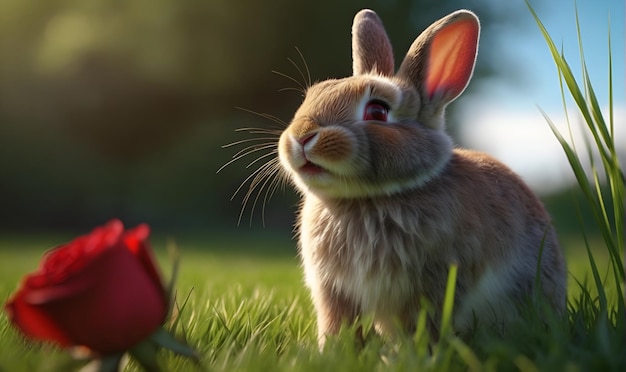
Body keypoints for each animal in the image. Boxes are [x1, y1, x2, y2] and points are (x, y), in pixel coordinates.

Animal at [266, 8, 564, 346]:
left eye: (378, 112)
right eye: (312, 96)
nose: (302, 136)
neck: (368, 198)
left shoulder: (436, 283)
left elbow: (423, 322)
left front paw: (411, 350)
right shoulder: (334, 291)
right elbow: (338, 323)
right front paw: (334, 349)